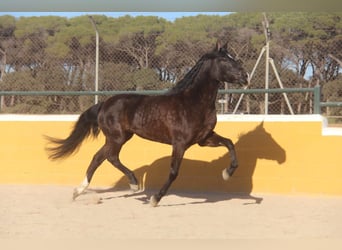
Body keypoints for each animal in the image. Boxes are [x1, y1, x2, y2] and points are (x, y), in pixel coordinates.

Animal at [45, 41, 248, 207]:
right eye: (224, 60)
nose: (245, 76)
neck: (193, 102)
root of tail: (104, 103)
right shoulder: (180, 143)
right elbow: (174, 172)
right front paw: (155, 199)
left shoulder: (204, 139)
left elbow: (230, 143)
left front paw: (227, 173)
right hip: (117, 137)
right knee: (110, 157)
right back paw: (134, 184)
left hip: (118, 137)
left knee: (98, 157)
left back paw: (79, 191)